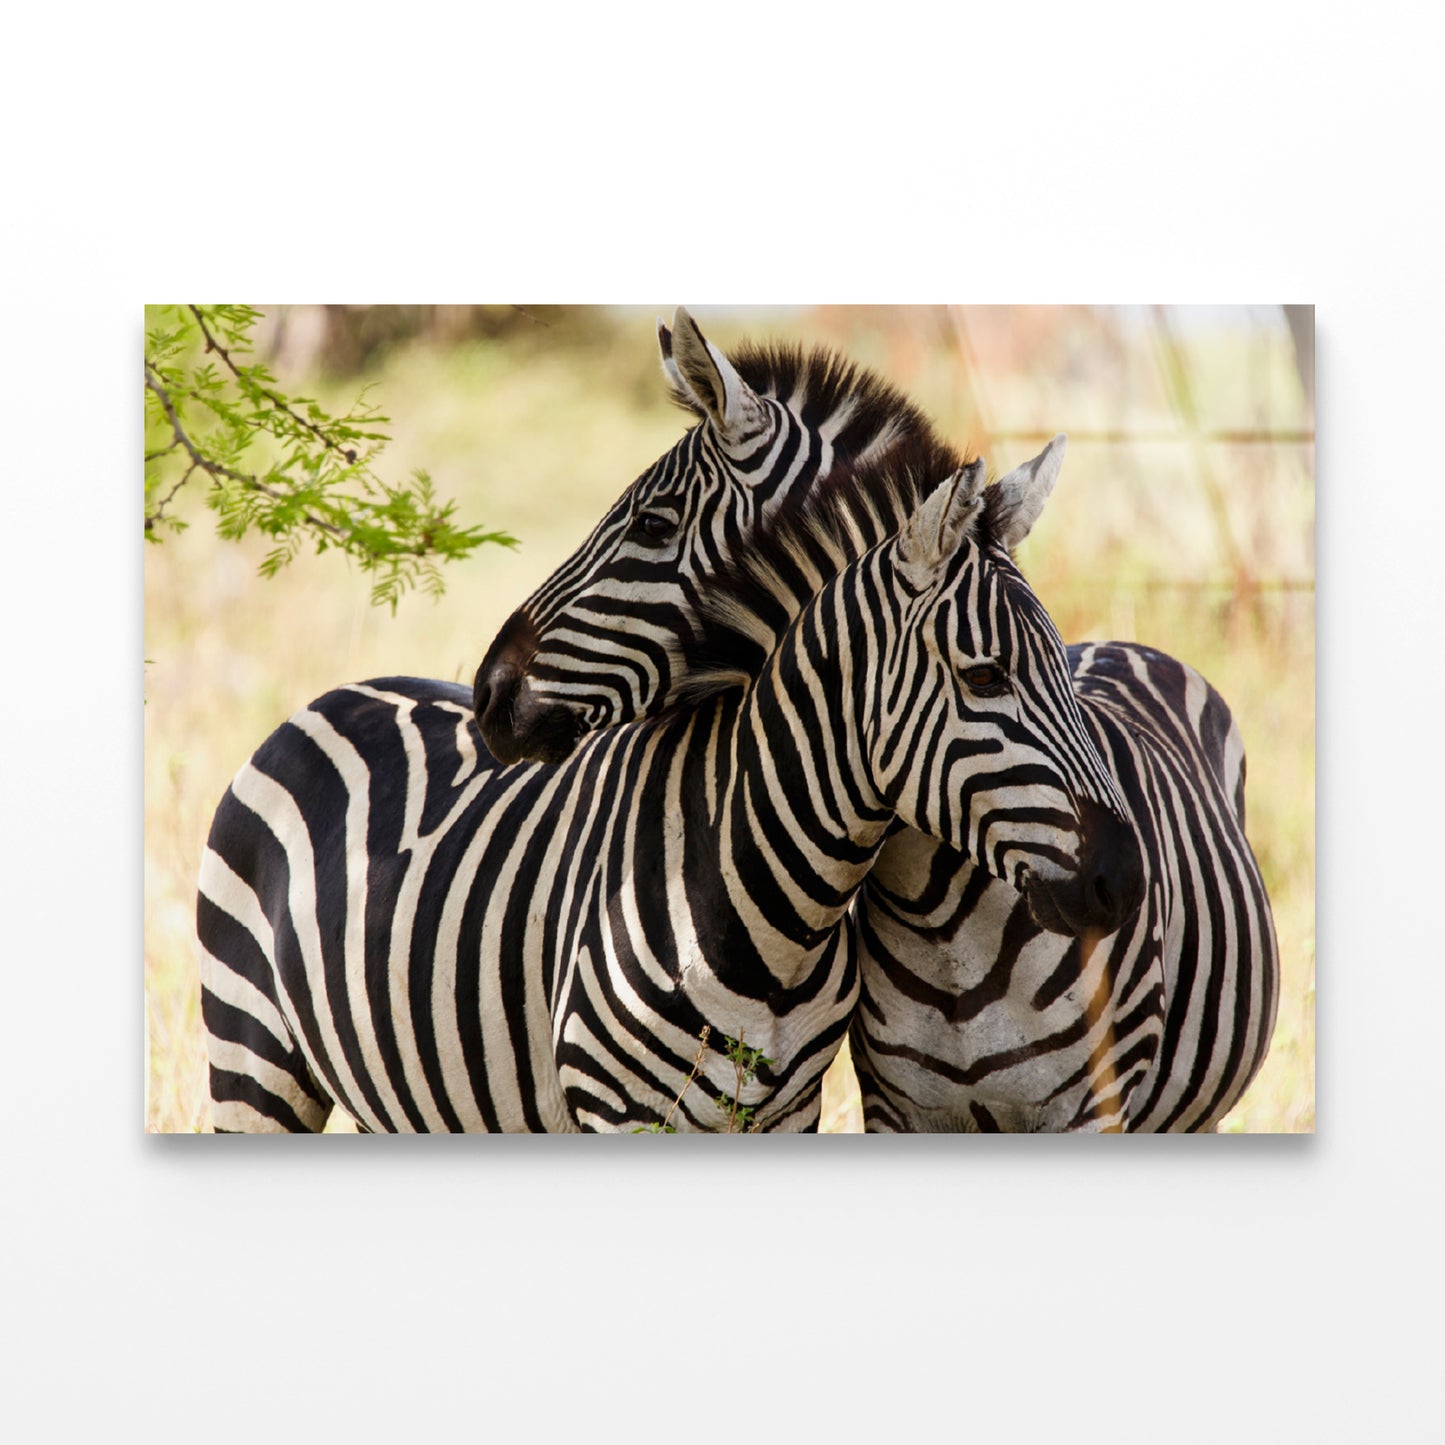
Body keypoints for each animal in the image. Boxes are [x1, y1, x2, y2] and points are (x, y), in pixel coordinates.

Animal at [197, 452, 1142, 1131]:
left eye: (1064, 667)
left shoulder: (785, 1116)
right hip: (252, 1063)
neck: (771, 918)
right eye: (985, 676)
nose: (1125, 879)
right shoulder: (618, 1114)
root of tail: (339, 693)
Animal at [474, 309, 1278, 1131]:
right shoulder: (895, 1104)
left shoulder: (1094, 1109)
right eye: (986, 674)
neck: (946, 920)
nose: (488, 690)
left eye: (653, 523)